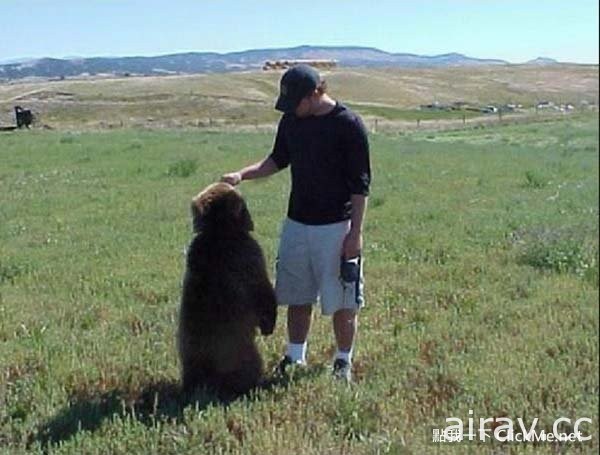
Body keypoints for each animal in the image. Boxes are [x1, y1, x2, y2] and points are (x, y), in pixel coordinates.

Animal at [177, 183, 278, 400]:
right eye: (244, 206)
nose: (251, 221)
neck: (220, 232)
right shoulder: (250, 255)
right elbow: (263, 291)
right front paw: (268, 325)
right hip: (242, 352)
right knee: (251, 365)